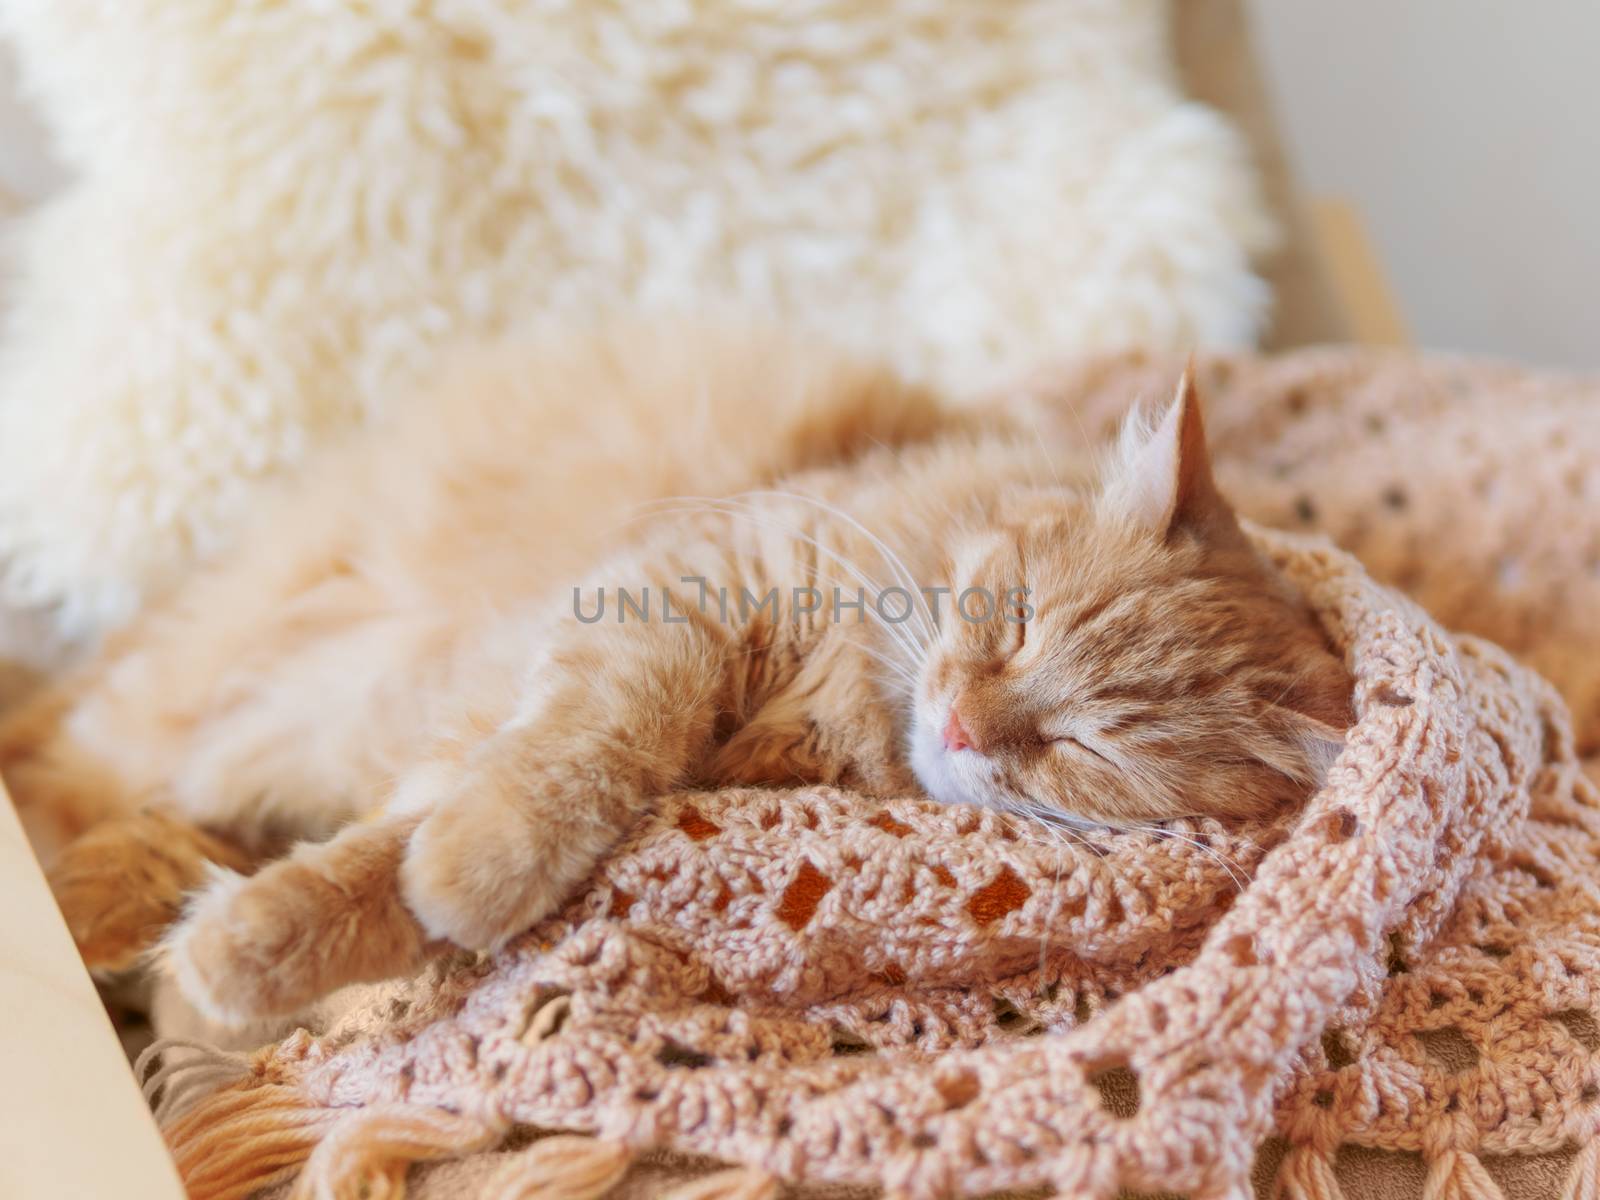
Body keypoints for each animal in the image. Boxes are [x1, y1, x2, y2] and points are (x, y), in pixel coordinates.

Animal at [0, 324, 1350, 1030]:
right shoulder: (688, 593)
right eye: (1015, 621)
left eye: (1086, 749)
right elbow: (577, 749)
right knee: (77, 760)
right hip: (203, 681)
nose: (967, 722)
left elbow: (398, 860)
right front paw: (456, 869)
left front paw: (258, 949)